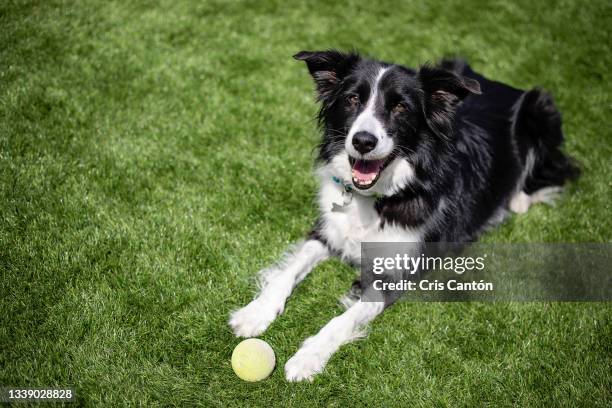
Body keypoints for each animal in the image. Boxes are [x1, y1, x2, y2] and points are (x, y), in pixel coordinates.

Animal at [227, 51, 576, 382]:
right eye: (352, 99)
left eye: (400, 107)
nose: (363, 141)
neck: (377, 197)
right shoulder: (327, 230)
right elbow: (288, 270)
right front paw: (254, 314)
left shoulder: (395, 274)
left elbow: (344, 319)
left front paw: (308, 357)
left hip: (540, 109)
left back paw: (516, 200)